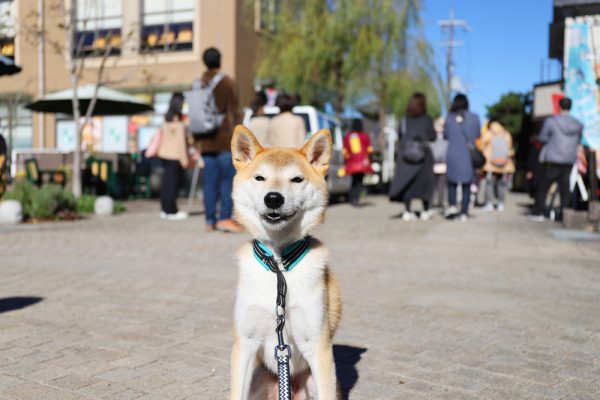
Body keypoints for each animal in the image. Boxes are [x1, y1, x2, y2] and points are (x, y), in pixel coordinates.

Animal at [230, 126, 342, 400]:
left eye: (297, 180)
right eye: (260, 178)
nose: (273, 198)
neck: (279, 266)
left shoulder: (318, 346)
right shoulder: (245, 343)